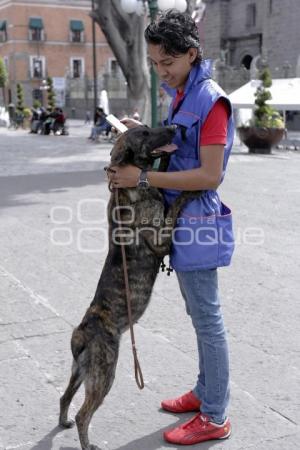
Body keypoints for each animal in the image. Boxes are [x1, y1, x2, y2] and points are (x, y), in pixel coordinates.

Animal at [58, 125, 202, 450]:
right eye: (145, 133)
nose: (174, 127)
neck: (130, 188)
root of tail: (81, 333)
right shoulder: (161, 238)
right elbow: (176, 204)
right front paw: (192, 190)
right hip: (104, 373)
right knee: (85, 414)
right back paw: (87, 443)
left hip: (80, 371)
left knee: (64, 396)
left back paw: (62, 422)